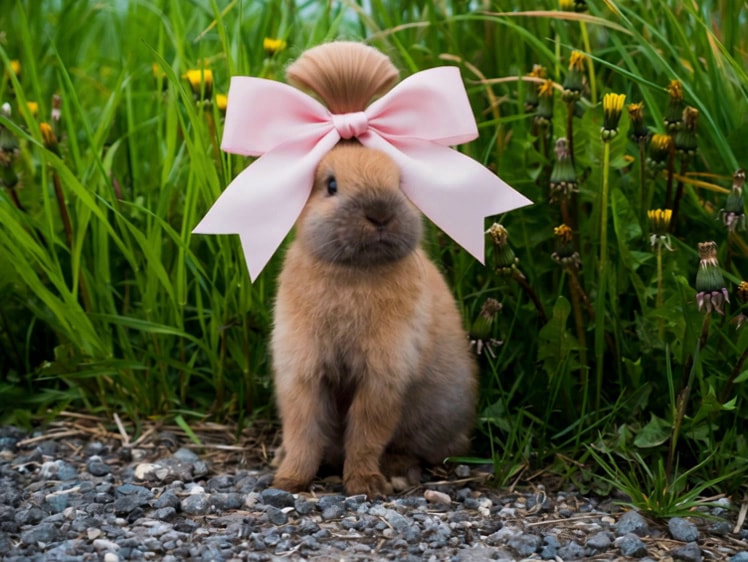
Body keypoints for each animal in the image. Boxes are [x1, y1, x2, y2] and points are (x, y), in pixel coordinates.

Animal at [270, 42, 478, 498]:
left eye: (400, 181)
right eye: (330, 185)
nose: (380, 214)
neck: (354, 271)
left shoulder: (384, 374)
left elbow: (367, 431)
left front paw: (365, 484)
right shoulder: (303, 370)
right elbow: (303, 429)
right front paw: (289, 480)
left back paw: (398, 472)